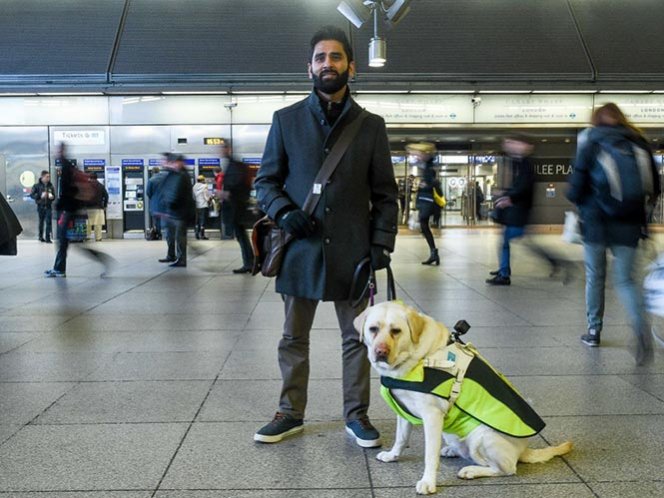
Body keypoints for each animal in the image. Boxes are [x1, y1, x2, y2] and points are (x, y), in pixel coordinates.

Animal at [356, 302, 572, 496]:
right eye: (373, 329)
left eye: (396, 331)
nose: (380, 352)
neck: (419, 357)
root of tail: (524, 450)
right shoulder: (403, 410)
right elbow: (401, 438)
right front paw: (392, 455)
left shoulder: (432, 416)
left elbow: (430, 456)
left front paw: (428, 482)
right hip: (450, 432)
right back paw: (452, 451)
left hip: (482, 436)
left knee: (506, 469)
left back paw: (472, 470)